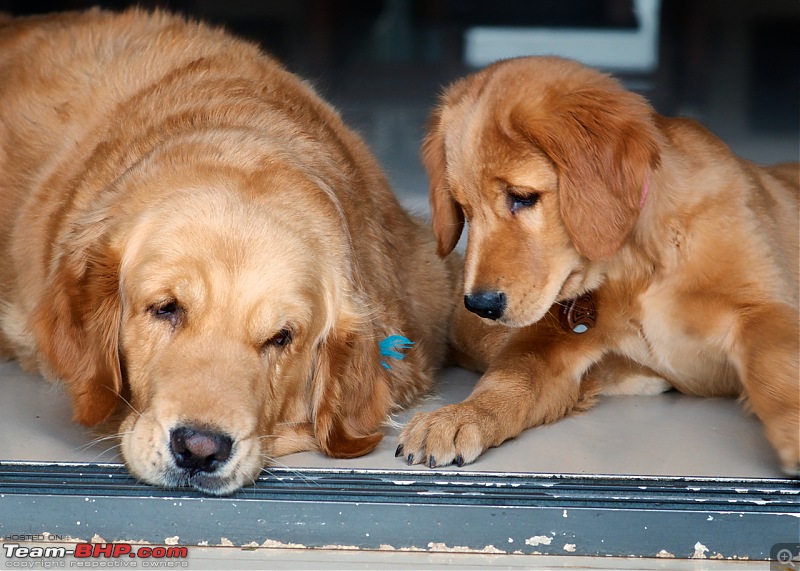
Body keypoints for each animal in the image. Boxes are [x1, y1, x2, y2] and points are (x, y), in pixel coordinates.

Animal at [400, 55, 800, 476]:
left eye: (523, 197)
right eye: (464, 209)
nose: (480, 306)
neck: (635, 263)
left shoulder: (765, 307)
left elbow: (776, 360)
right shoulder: (552, 340)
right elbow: (512, 373)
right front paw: (462, 415)